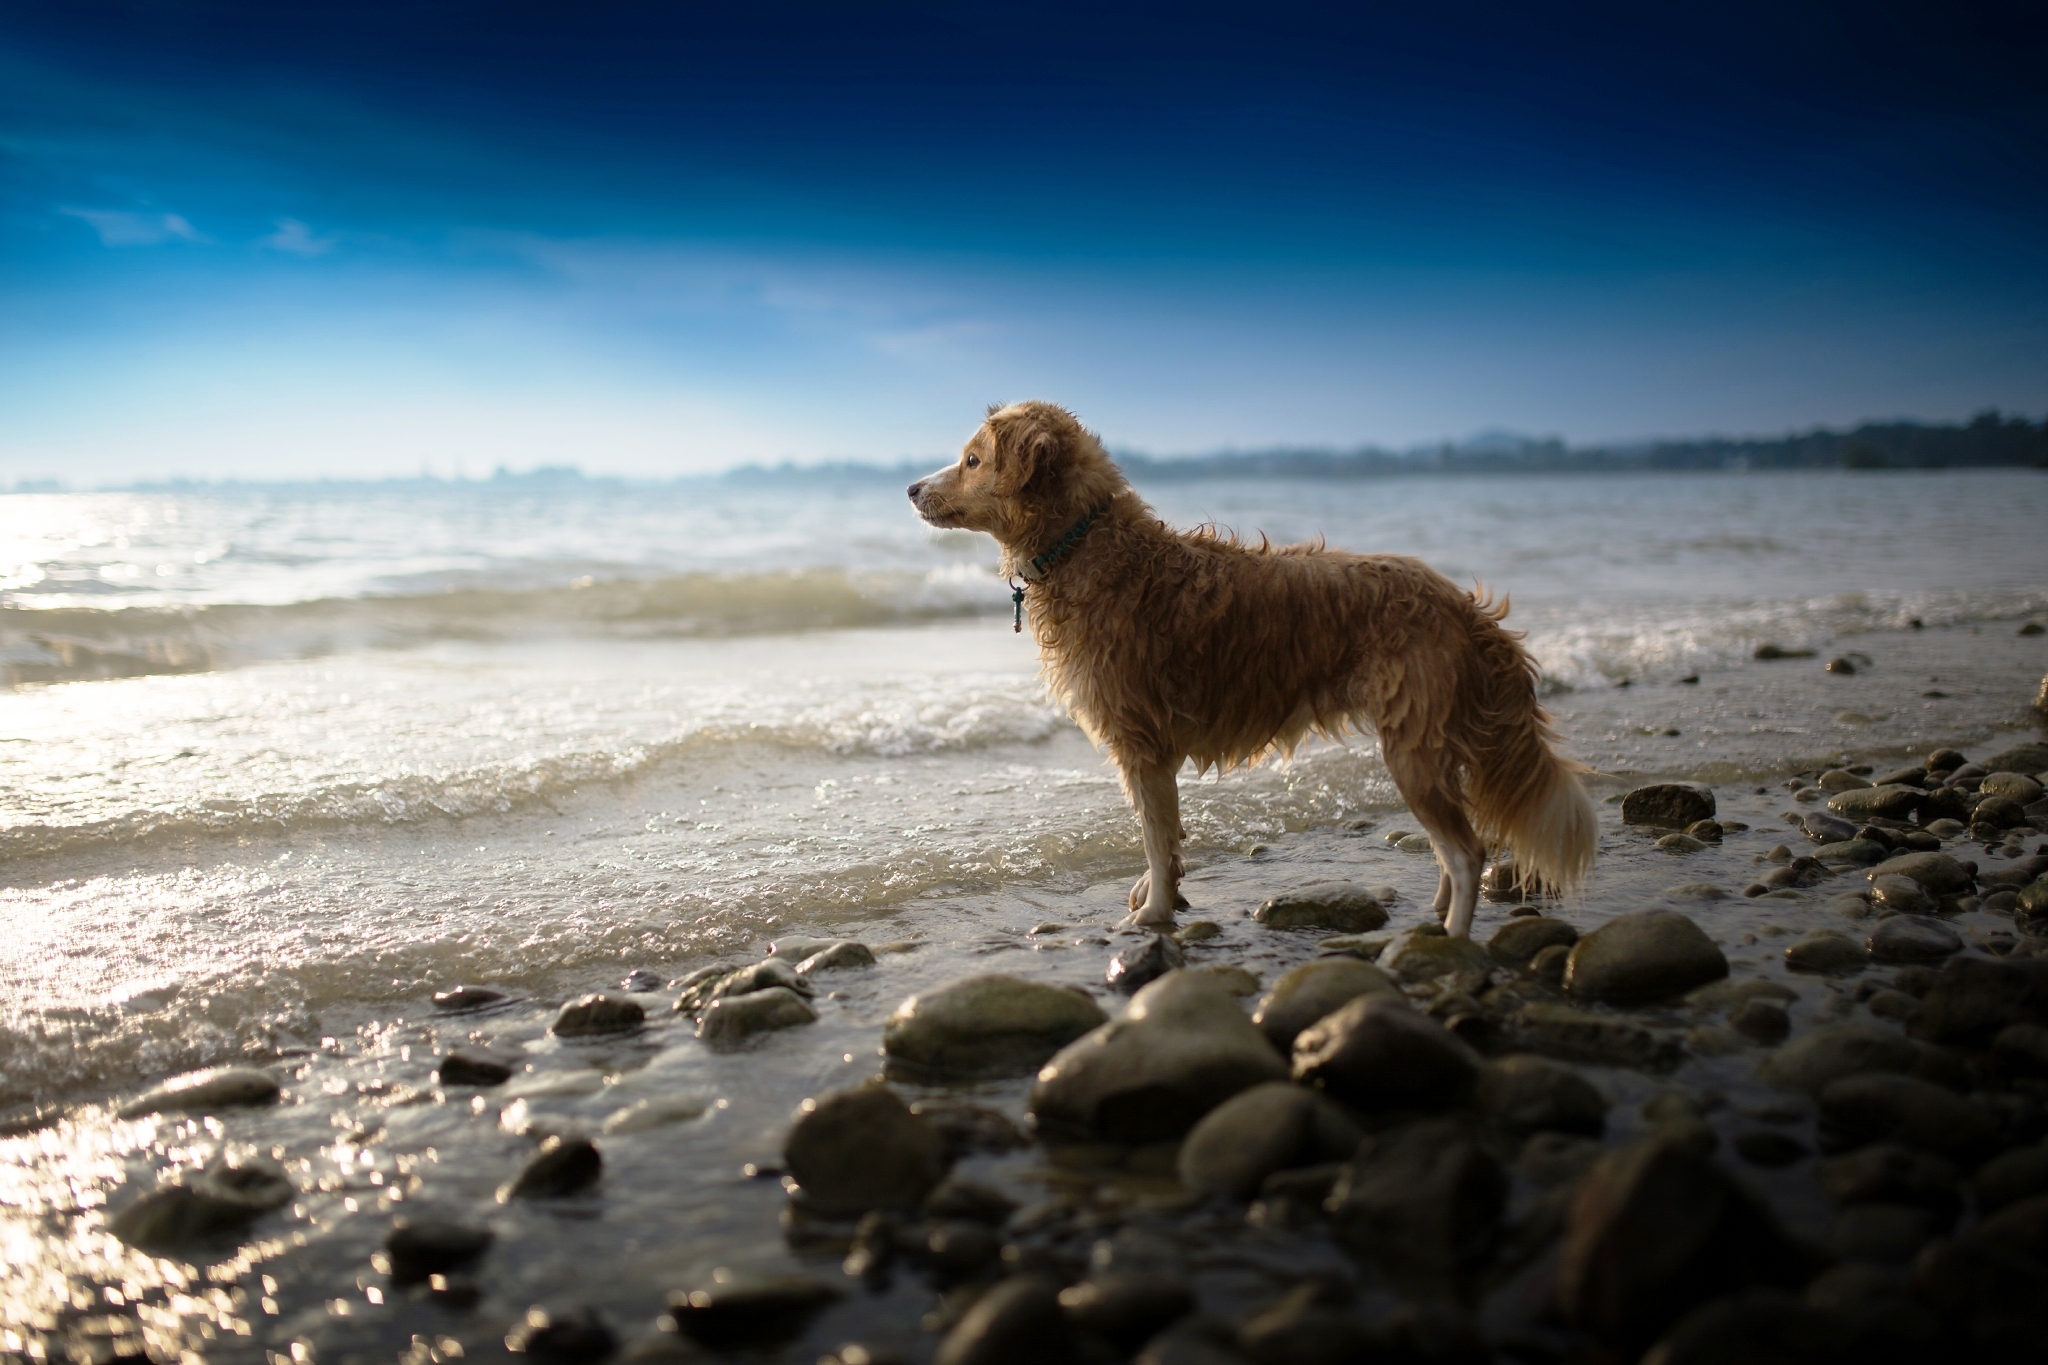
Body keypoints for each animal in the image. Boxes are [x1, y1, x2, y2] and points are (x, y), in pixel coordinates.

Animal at [913, 401, 1597, 941]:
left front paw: (1151, 914)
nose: (913, 489)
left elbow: (1156, 840)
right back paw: (1436, 915)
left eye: (972, 459)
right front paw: (1157, 896)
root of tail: (1458, 601)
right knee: (1452, 846)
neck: (1084, 542)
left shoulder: (1140, 743)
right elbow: (1165, 839)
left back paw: (1451, 938)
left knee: (1466, 850)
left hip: (1411, 750)